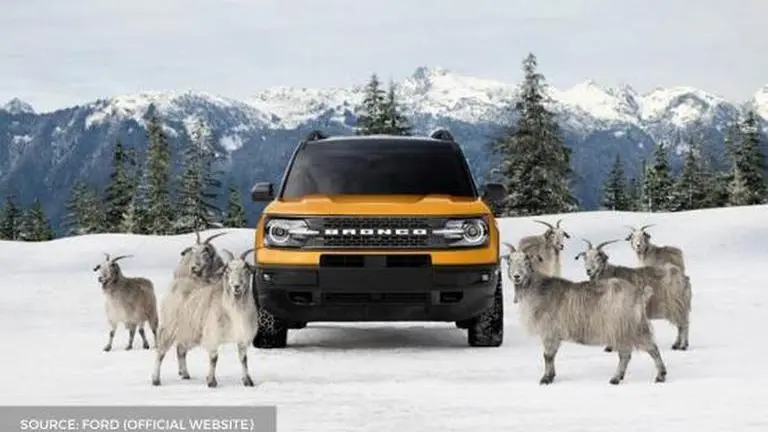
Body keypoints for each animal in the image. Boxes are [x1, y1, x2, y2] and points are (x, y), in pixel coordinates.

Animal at [152, 248, 259, 388]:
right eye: (227, 270)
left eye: (246, 269)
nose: (236, 286)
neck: (233, 309)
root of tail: (179, 280)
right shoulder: (213, 336)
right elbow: (214, 359)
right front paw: (211, 381)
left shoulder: (243, 339)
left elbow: (244, 360)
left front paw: (248, 381)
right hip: (169, 327)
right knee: (160, 352)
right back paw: (156, 379)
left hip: (190, 331)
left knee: (180, 349)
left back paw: (185, 374)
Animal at [503, 243, 667, 385]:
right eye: (509, 261)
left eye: (526, 260)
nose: (517, 276)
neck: (537, 289)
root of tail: (639, 293)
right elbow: (551, 356)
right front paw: (551, 376)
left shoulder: (549, 331)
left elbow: (547, 356)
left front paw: (546, 379)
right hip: (630, 327)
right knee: (633, 352)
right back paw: (621, 377)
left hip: (625, 327)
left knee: (643, 350)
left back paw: (652, 376)